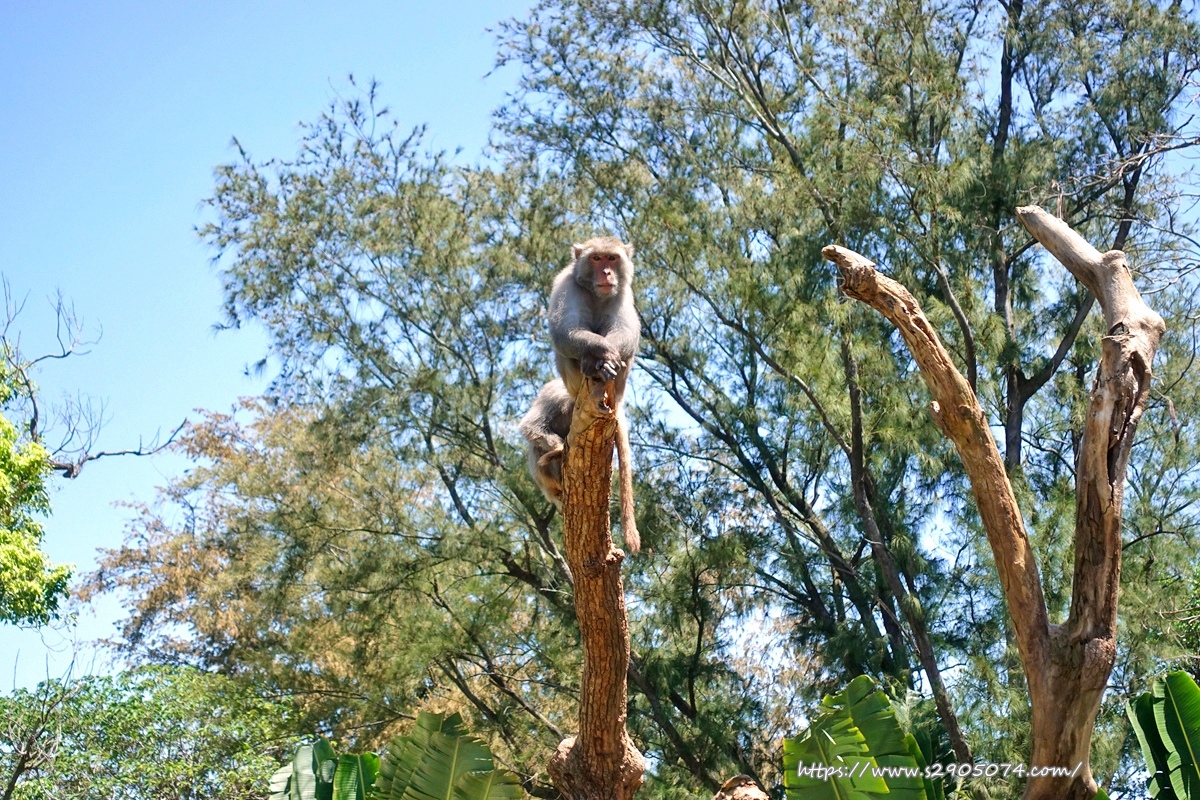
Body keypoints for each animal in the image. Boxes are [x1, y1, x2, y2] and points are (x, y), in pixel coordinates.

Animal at [549, 235, 643, 554]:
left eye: (612, 259)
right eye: (596, 258)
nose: (607, 273)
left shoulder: (624, 293)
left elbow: (627, 332)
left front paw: (610, 355)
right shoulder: (566, 283)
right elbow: (565, 330)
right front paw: (603, 354)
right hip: (573, 384)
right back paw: (594, 365)